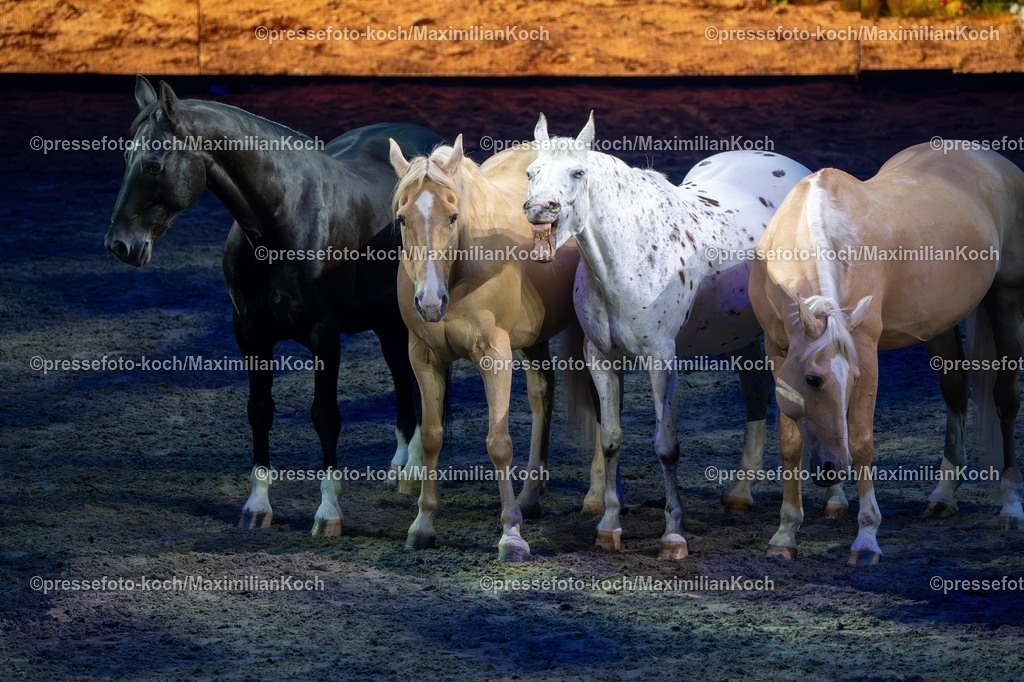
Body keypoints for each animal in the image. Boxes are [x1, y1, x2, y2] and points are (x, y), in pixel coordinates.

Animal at [105, 76, 443, 536]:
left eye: (154, 164)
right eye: (126, 157)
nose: (120, 245)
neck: (283, 220)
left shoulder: (324, 336)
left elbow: (325, 416)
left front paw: (328, 513)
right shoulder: (250, 332)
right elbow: (259, 411)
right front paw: (257, 505)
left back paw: (415, 472)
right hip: (387, 321)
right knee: (401, 375)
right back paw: (402, 469)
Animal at [388, 134, 592, 562]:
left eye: (453, 217)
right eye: (402, 219)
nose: (429, 302)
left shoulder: (494, 356)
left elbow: (499, 443)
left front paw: (511, 535)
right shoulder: (423, 358)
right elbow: (431, 436)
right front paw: (423, 525)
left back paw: (596, 499)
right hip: (532, 341)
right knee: (542, 396)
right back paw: (530, 496)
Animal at [523, 113, 812, 559]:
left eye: (577, 172)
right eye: (531, 172)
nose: (539, 210)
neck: (632, 254)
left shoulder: (662, 360)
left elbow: (666, 445)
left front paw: (673, 536)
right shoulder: (601, 358)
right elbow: (610, 439)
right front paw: (609, 527)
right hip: (743, 336)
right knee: (755, 391)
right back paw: (740, 494)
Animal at [749, 143, 1024, 566]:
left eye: (854, 379)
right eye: (812, 379)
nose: (831, 469)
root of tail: (993, 160)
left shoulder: (865, 350)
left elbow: (863, 442)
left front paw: (866, 539)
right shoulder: (777, 349)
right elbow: (791, 444)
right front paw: (785, 534)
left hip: (1006, 300)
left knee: (1005, 400)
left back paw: (1010, 505)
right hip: (939, 325)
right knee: (955, 390)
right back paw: (944, 496)